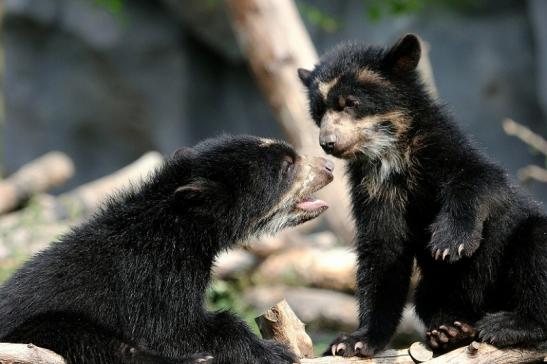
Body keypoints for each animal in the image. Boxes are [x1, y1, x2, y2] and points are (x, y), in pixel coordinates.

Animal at [0, 135, 334, 362]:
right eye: (287, 167)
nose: (329, 165)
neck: (181, 227)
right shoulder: (153, 276)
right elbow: (173, 330)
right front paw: (274, 351)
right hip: (35, 331)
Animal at [298, 34, 547, 356]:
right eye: (319, 113)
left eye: (350, 103)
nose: (327, 142)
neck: (391, 156)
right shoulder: (372, 188)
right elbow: (382, 251)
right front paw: (352, 341)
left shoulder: (441, 148)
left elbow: (481, 179)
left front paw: (449, 243)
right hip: (435, 289)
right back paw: (450, 331)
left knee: (536, 243)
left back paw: (508, 324)